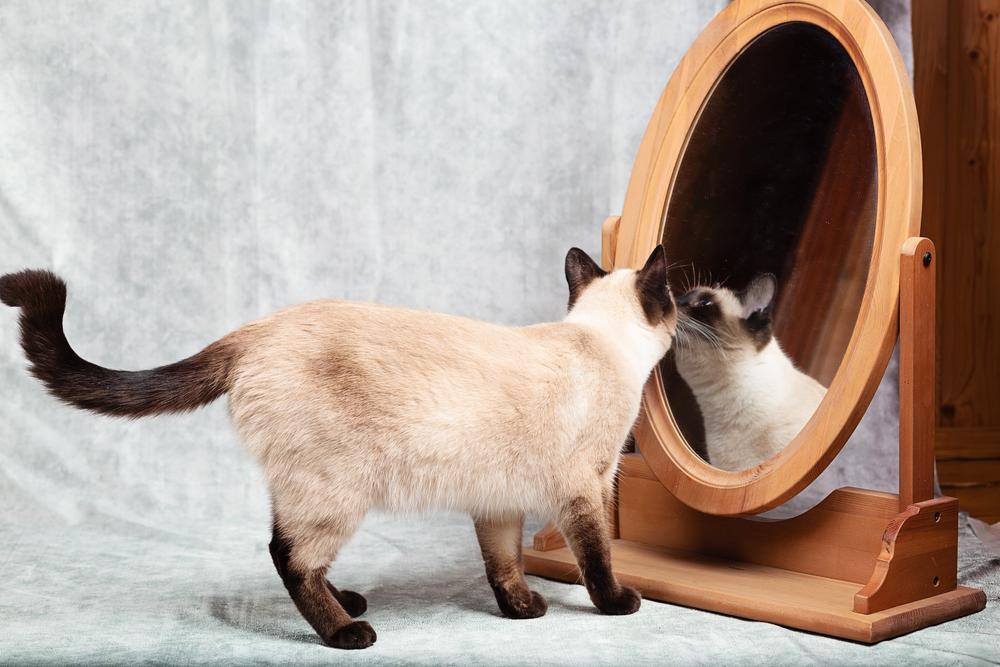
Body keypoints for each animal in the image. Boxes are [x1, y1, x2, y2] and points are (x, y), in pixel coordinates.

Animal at [0, 245, 676, 652]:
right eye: (677, 300)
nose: (691, 307)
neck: (600, 342)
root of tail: (253, 332)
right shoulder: (585, 489)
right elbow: (596, 559)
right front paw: (619, 604)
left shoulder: (498, 502)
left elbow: (502, 564)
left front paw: (522, 610)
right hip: (337, 493)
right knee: (289, 556)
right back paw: (346, 631)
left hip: (306, 488)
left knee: (291, 550)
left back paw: (344, 599)